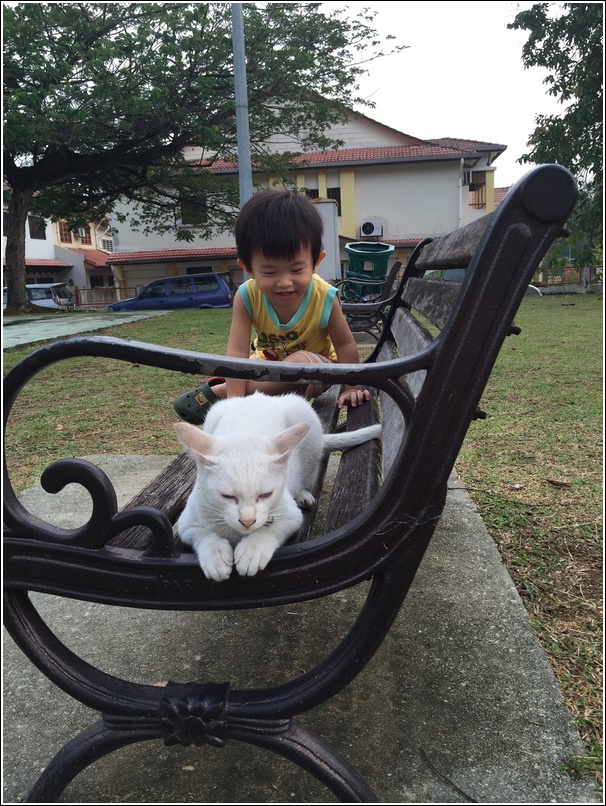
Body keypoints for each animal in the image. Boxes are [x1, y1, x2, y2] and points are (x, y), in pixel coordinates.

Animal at [176, 392, 382, 580]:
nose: (247, 521)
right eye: (227, 496)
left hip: (306, 422)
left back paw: (302, 494)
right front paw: (215, 557)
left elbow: (271, 528)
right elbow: (203, 534)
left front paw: (252, 550)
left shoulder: (292, 516)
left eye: (265, 495)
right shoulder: (186, 523)